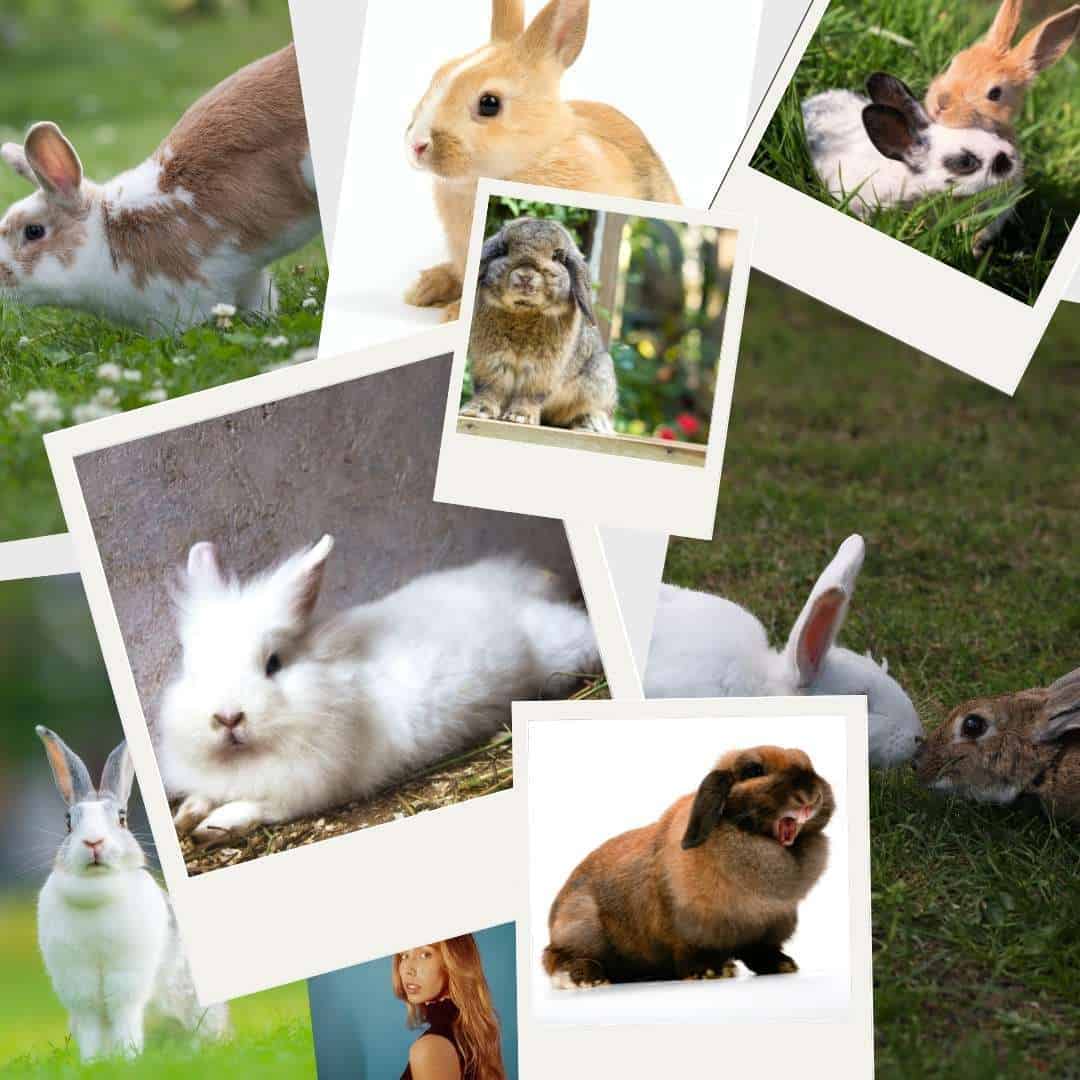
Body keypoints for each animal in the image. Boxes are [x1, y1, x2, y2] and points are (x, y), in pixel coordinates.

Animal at [0, 44, 319, 335]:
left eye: (33, 231)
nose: (1, 278)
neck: (108, 236)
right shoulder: (248, 278)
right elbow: (262, 301)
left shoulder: (187, 298)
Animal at [35, 726, 229, 1060]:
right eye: (68, 822)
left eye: (122, 819)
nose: (93, 842)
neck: (96, 890)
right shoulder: (79, 987)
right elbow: (90, 1025)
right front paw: (92, 1062)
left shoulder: (127, 980)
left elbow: (123, 1015)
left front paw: (128, 1058)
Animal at [158, 535, 600, 844]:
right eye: (191, 669)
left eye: (273, 664)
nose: (227, 717)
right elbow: (201, 796)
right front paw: (185, 816)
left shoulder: (306, 789)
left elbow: (254, 807)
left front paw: (212, 825)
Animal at [462, 217, 616, 431]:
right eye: (504, 250)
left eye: (557, 257)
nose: (525, 276)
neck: (525, 313)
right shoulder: (491, 362)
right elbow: (490, 387)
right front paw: (477, 411)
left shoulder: (543, 370)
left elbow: (531, 394)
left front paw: (520, 417)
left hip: (600, 377)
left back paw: (590, 423)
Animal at [543, 745, 834, 987]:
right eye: (754, 770)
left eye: (808, 762)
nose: (811, 795)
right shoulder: (687, 930)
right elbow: (692, 952)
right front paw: (712, 971)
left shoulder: (766, 930)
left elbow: (761, 950)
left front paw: (782, 964)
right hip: (584, 926)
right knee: (556, 957)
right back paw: (587, 979)